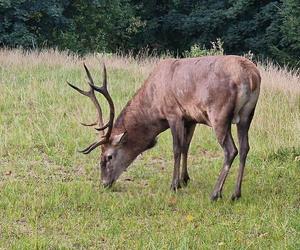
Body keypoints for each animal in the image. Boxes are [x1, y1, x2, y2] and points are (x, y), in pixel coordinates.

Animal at [68, 55, 260, 200]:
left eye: (108, 157)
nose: (104, 183)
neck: (153, 105)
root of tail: (251, 77)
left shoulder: (173, 113)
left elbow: (176, 148)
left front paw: (174, 184)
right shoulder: (191, 118)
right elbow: (186, 146)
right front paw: (184, 179)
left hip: (219, 113)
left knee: (231, 150)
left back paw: (215, 193)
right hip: (247, 115)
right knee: (245, 148)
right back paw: (236, 193)